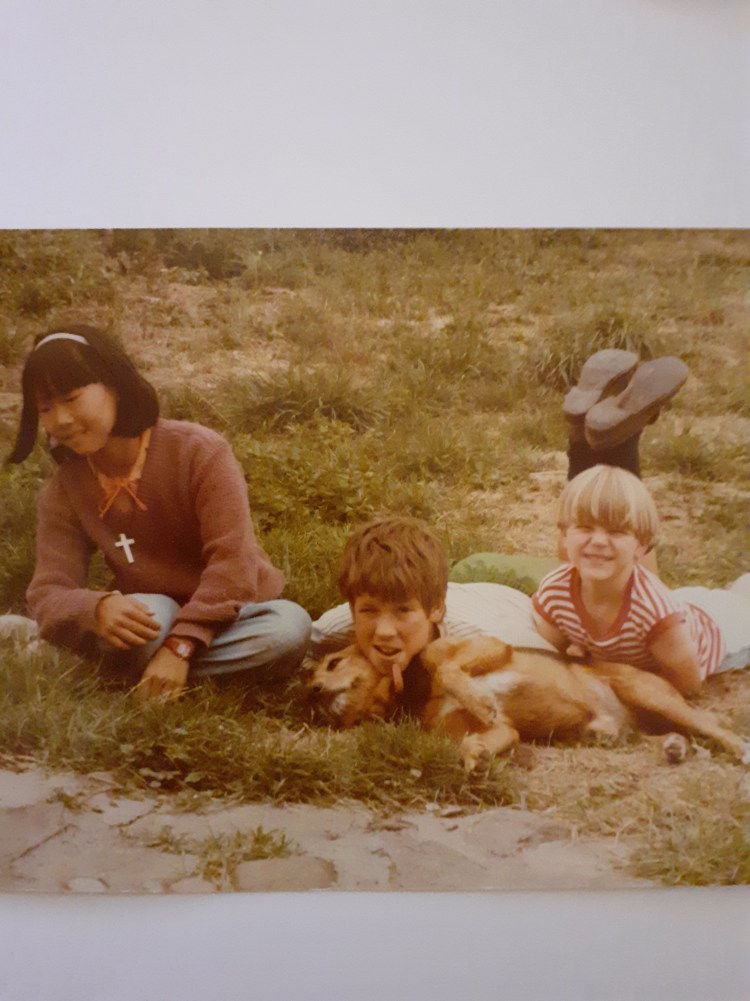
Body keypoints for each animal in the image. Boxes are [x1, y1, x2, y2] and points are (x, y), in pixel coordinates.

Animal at [308, 636, 750, 771]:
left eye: (333, 663)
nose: (309, 693)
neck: (412, 690)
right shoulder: (503, 730)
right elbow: (484, 738)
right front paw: (476, 755)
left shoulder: (487, 646)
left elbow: (450, 669)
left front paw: (479, 699)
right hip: (621, 731)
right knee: (663, 737)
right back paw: (674, 747)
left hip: (651, 695)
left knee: (714, 727)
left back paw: (738, 749)